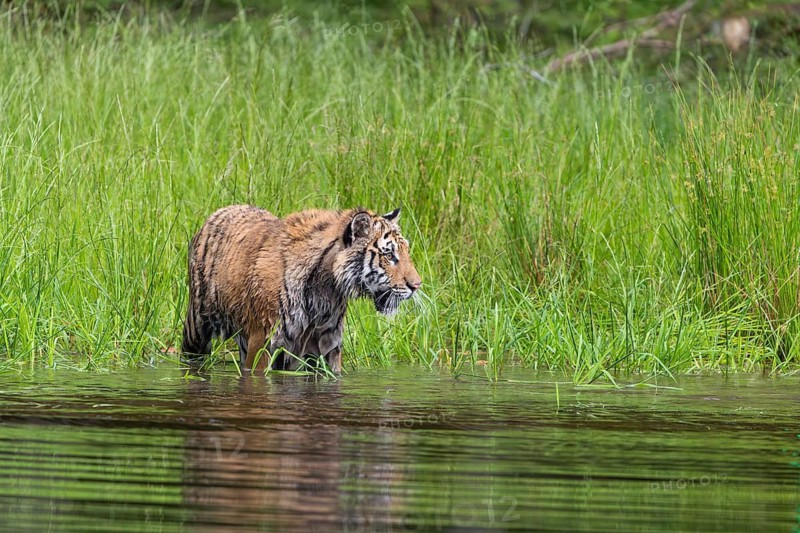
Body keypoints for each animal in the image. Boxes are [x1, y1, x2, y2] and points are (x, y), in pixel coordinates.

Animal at [181, 205, 422, 373]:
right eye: (389, 255)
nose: (417, 285)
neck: (327, 289)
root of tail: (220, 211)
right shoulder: (263, 339)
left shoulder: (328, 344)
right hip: (197, 326)